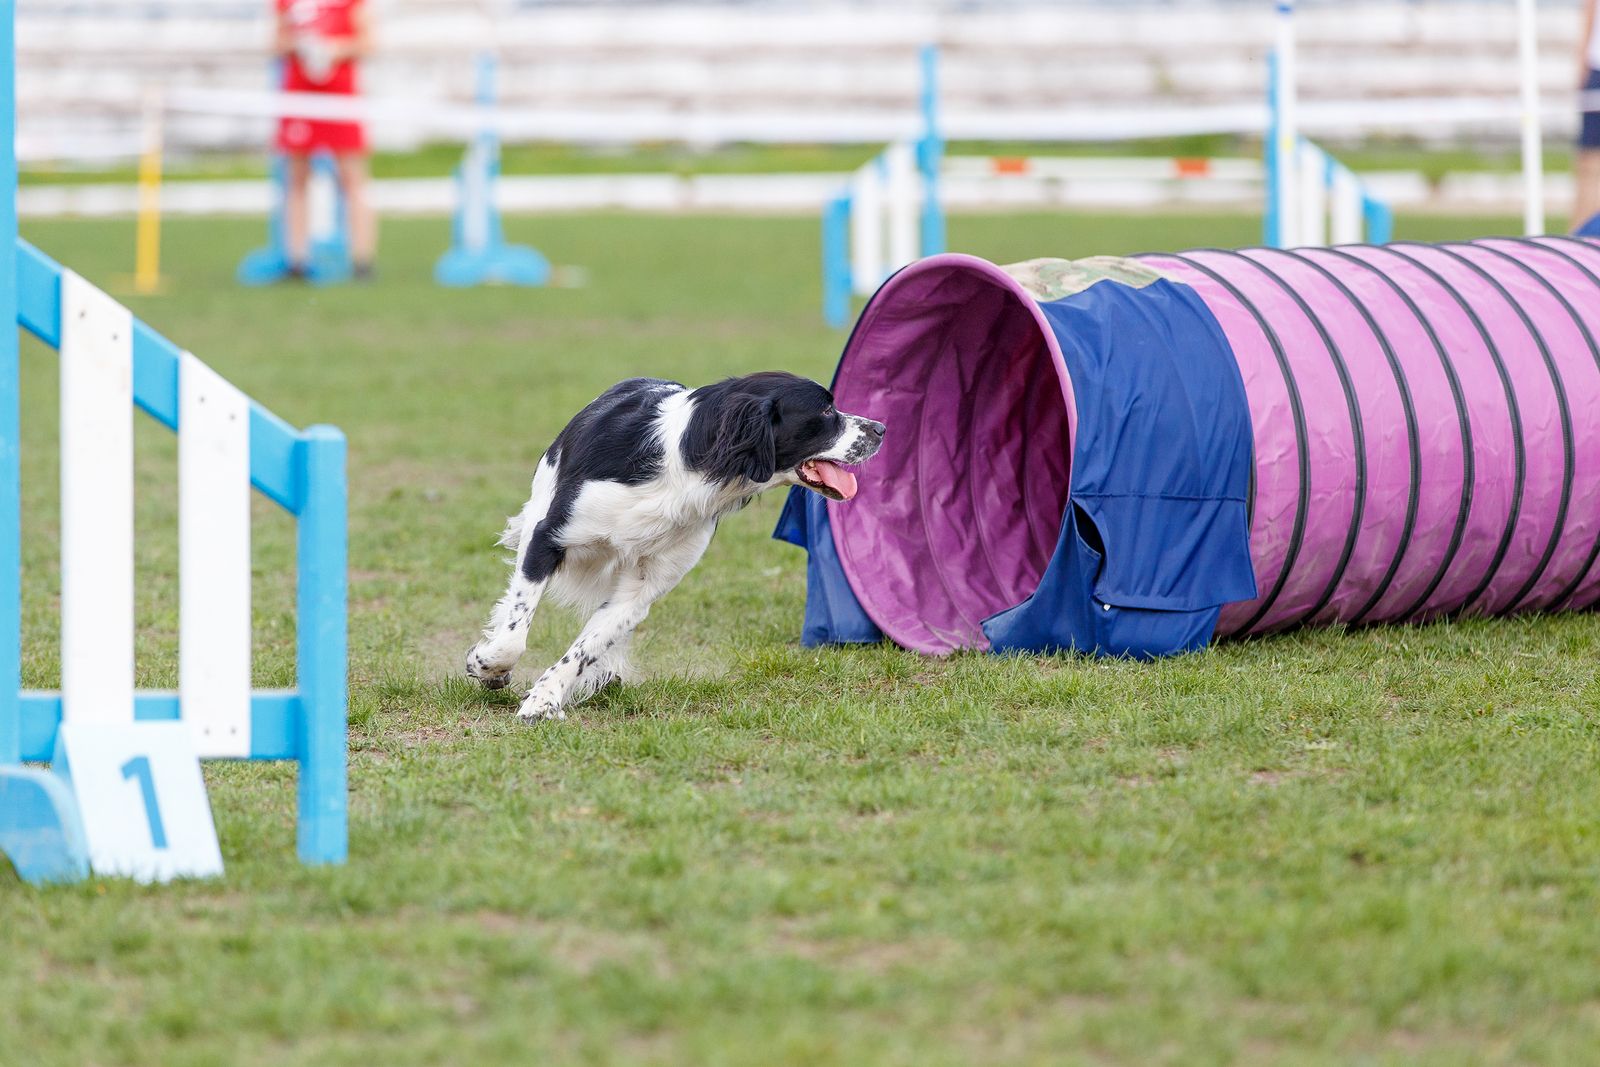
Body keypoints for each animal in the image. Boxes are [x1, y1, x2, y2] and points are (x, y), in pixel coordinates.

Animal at [464, 371, 889, 723]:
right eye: (826, 410)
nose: (882, 427)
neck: (683, 468)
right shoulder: (547, 536)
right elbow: (513, 635)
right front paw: (487, 666)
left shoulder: (641, 589)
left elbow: (586, 647)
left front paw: (544, 700)